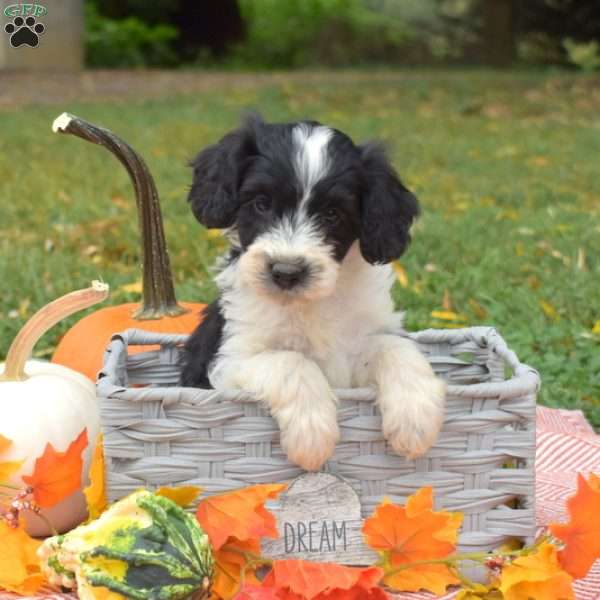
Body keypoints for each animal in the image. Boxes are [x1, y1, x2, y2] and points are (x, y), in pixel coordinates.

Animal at [180, 116, 442, 474]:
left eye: (332, 214)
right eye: (261, 204)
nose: (286, 272)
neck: (308, 305)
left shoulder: (360, 343)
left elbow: (395, 347)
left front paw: (416, 419)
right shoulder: (229, 360)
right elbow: (292, 360)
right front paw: (312, 436)